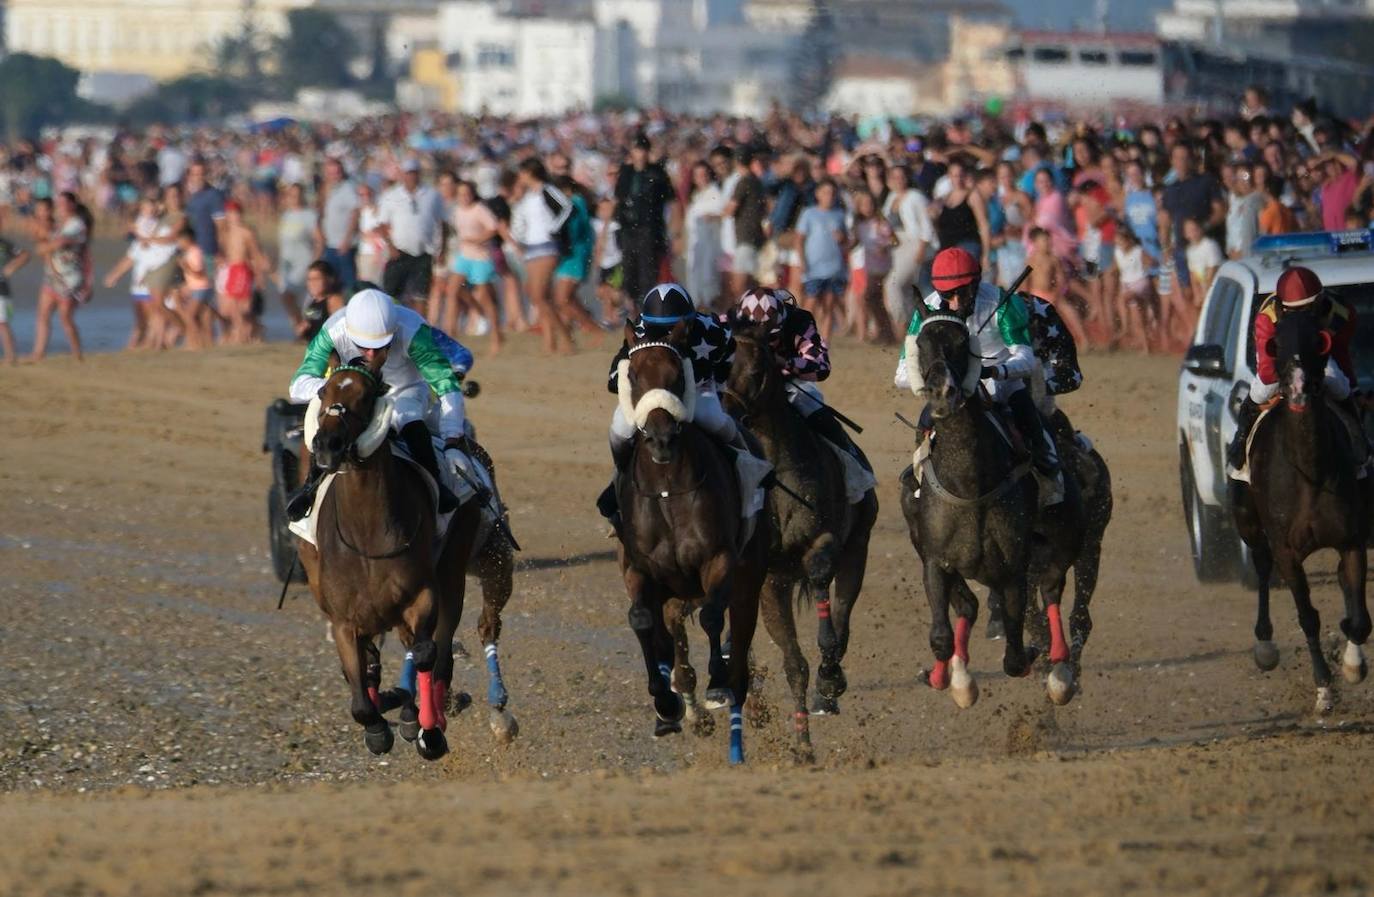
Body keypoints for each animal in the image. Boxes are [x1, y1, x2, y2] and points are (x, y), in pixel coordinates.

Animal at [295, 357, 483, 758]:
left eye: (367, 396)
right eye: (323, 391)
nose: (327, 445)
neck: (366, 534)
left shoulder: (420, 596)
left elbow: (425, 652)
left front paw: (428, 730)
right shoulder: (344, 620)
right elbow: (360, 699)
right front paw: (378, 729)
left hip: (453, 571)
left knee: (437, 651)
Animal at [615, 321, 774, 763]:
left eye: (676, 375)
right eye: (633, 376)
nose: (661, 440)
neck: (668, 491)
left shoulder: (718, 560)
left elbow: (713, 618)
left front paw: (717, 683)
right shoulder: (639, 568)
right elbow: (642, 620)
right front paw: (664, 703)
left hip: (749, 578)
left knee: (740, 637)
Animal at [719, 324, 879, 763]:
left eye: (757, 369)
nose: (728, 413)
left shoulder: (823, 541)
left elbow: (822, 577)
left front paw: (829, 676)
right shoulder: (770, 578)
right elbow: (793, 663)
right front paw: (801, 744)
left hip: (858, 546)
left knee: (842, 610)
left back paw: (830, 681)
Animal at [895, 314, 1088, 708]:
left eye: (961, 343)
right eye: (920, 343)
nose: (942, 393)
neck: (970, 484)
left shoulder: (1013, 568)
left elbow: (1015, 656)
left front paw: (1034, 656)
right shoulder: (934, 558)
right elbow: (942, 634)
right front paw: (951, 678)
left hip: (1066, 536)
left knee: (1051, 588)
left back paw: (1060, 673)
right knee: (969, 607)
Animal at [1236, 311, 1363, 708]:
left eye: (1315, 347)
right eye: (1277, 349)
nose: (1298, 391)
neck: (1310, 470)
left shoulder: (1351, 540)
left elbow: (1358, 619)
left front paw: (1352, 663)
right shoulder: (1287, 551)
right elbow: (1308, 616)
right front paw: (1324, 686)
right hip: (1248, 521)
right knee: (1261, 565)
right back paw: (1265, 646)